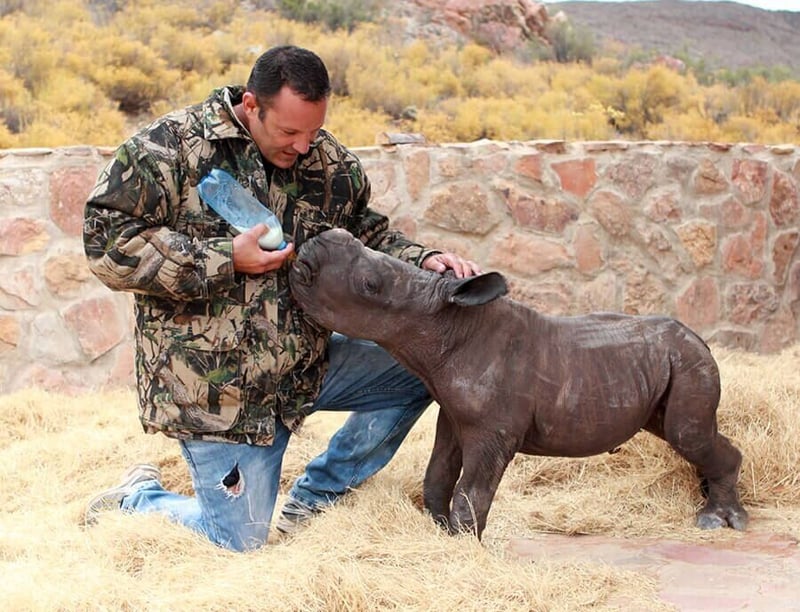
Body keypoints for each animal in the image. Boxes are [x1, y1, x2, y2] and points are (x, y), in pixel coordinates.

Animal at [289, 228, 748, 539]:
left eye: (370, 285)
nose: (317, 241)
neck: (444, 323)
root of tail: (700, 338)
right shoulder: (452, 415)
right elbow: (437, 476)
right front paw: (441, 534)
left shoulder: (493, 430)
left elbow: (472, 492)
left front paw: (466, 547)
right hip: (665, 364)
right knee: (680, 432)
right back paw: (708, 502)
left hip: (688, 362)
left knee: (687, 433)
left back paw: (719, 521)